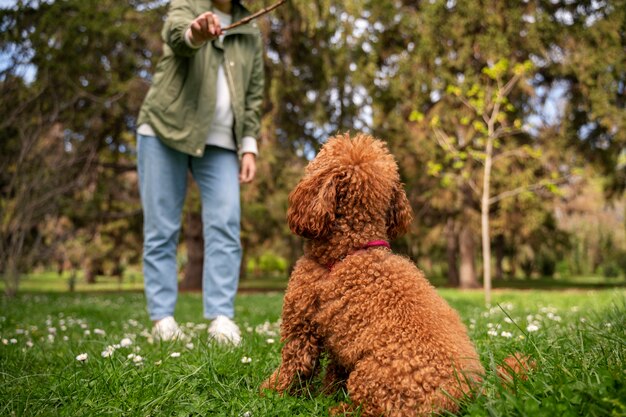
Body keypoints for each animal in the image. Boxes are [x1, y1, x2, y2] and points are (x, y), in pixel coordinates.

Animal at [260, 134, 486, 416]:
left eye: (318, 157)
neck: (351, 248)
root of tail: (458, 400)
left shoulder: (301, 325)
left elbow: (294, 367)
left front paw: (271, 393)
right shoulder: (343, 342)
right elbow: (334, 373)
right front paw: (325, 394)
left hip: (370, 376)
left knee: (369, 409)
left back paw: (337, 410)